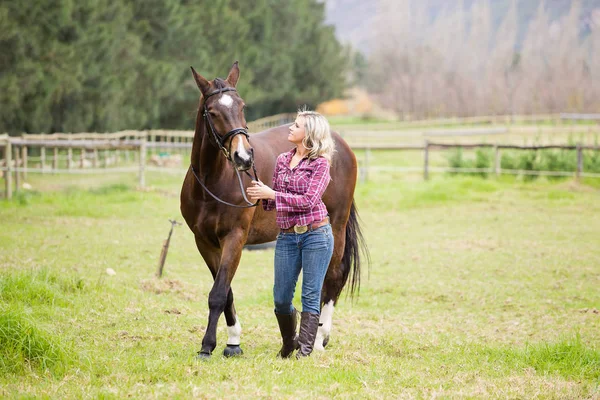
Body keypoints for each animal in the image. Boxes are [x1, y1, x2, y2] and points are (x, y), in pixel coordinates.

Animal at [179, 61, 366, 360]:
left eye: (241, 106)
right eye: (212, 112)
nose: (244, 157)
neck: (213, 181)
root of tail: (338, 143)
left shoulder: (235, 237)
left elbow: (218, 293)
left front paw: (207, 346)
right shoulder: (204, 242)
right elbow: (225, 291)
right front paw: (233, 341)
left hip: (336, 226)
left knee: (333, 277)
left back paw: (319, 339)